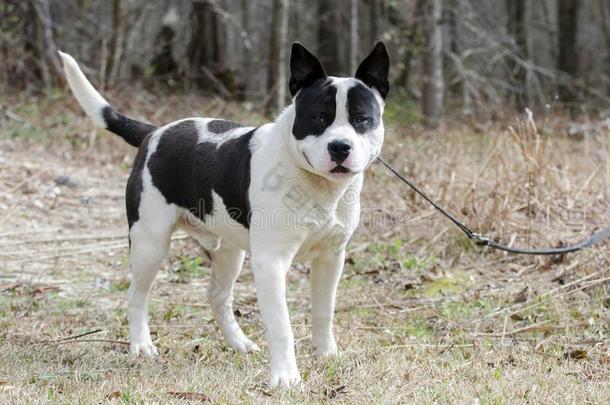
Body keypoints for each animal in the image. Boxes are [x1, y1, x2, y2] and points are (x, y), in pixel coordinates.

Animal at [58, 41, 390, 388]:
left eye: (362, 119)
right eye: (318, 117)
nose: (340, 146)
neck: (316, 185)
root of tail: (155, 132)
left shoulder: (331, 258)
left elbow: (324, 311)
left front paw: (327, 355)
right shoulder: (271, 262)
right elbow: (281, 326)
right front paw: (285, 377)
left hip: (229, 251)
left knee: (217, 295)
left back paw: (237, 342)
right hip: (150, 243)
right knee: (137, 295)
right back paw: (141, 345)